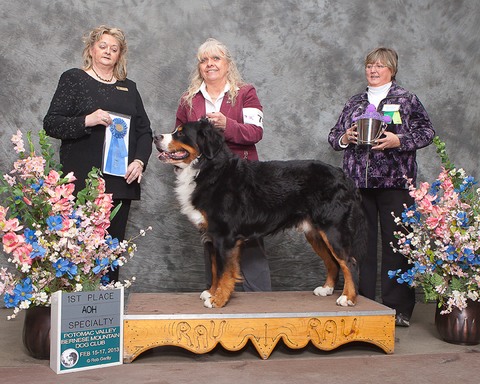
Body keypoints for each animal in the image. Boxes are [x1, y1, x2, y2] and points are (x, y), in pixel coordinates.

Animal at [156, 118, 366, 308]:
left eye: (181, 133)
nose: (156, 137)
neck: (207, 169)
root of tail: (344, 176)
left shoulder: (224, 236)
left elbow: (224, 271)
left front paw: (218, 299)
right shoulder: (211, 235)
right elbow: (216, 269)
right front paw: (211, 292)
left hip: (333, 229)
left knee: (350, 262)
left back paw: (348, 297)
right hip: (315, 233)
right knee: (333, 262)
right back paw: (327, 289)